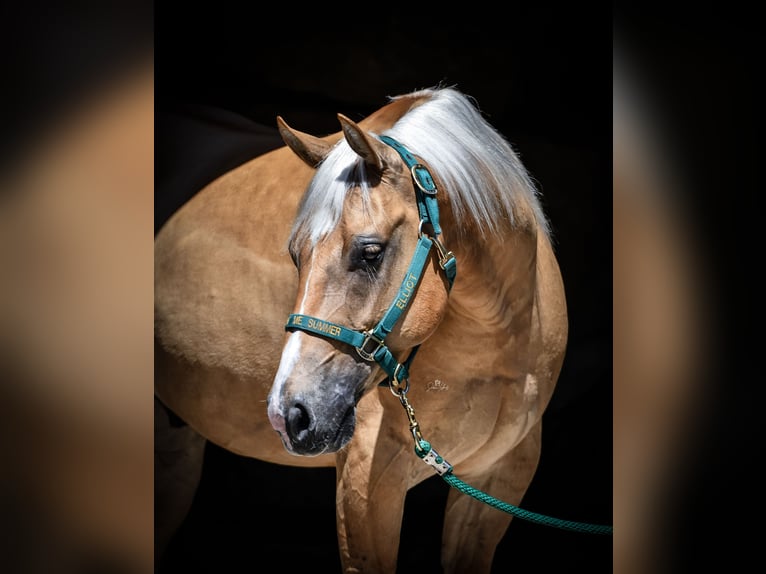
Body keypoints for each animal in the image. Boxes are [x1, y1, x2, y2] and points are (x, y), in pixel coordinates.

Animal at [154, 86, 568, 573]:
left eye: (370, 252)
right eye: (295, 254)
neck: (497, 345)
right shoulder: (366, 485)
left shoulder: (499, 480)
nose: (288, 413)